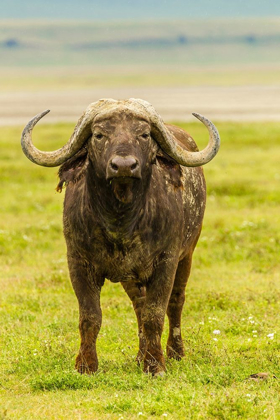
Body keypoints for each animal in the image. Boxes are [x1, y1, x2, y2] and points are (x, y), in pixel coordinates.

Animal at [20, 99, 220, 378]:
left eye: (144, 135)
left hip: (187, 254)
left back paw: (175, 352)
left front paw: (155, 365)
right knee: (139, 306)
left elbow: (155, 314)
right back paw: (139, 356)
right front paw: (86, 365)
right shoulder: (78, 262)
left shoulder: (166, 261)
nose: (124, 165)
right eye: (99, 135)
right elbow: (90, 316)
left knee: (176, 302)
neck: (121, 221)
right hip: (131, 277)